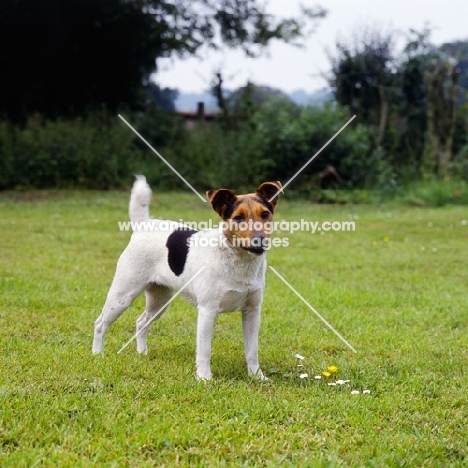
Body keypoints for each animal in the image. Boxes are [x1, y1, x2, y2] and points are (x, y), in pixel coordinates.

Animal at [91, 176, 282, 380]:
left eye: (265, 214)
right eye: (238, 218)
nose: (259, 240)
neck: (238, 260)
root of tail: (143, 224)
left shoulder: (252, 312)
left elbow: (252, 350)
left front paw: (256, 376)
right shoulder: (207, 311)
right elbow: (204, 350)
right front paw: (204, 378)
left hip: (160, 301)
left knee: (141, 322)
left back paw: (142, 353)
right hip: (122, 297)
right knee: (100, 323)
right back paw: (97, 354)